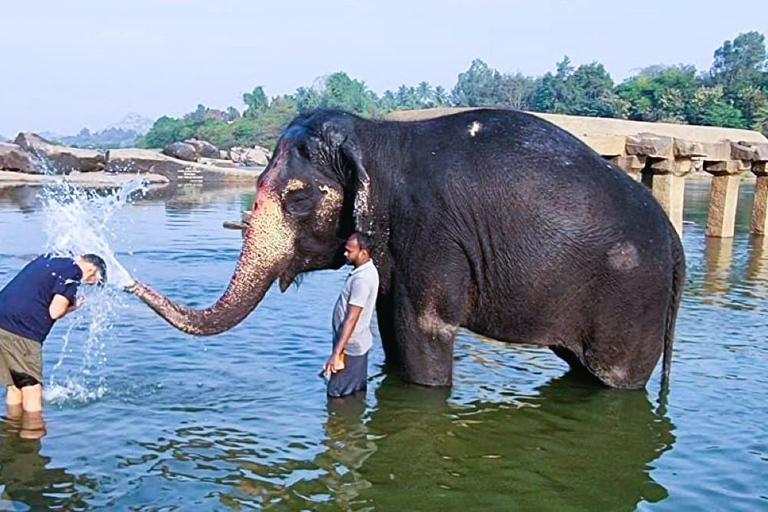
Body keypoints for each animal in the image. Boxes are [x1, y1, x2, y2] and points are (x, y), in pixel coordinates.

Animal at [129, 108, 688, 388]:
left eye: (299, 199)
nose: (124, 280)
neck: (378, 136)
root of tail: (675, 241)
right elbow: (387, 326)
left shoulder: (435, 234)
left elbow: (424, 329)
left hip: (633, 301)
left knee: (615, 381)